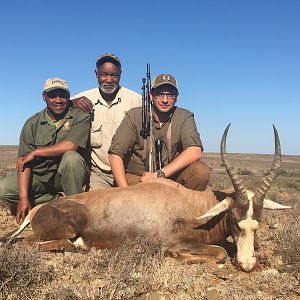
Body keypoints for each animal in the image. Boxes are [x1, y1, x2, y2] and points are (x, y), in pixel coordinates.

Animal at [1, 124, 290, 272]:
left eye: (256, 224)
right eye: (234, 219)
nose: (246, 264)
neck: (194, 205)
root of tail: (36, 211)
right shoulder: (174, 241)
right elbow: (218, 253)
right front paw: (174, 258)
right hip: (65, 229)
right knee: (30, 243)